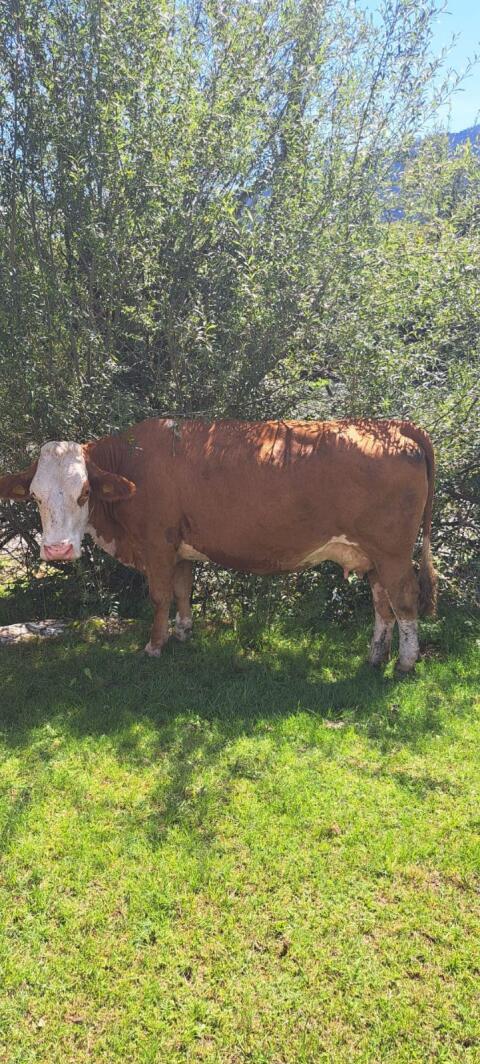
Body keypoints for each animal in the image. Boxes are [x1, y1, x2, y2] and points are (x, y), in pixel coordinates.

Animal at [0, 418, 437, 671]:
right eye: (35, 496)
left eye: (85, 492)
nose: (57, 550)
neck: (133, 461)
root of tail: (392, 425)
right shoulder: (179, 549)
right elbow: (182, 591)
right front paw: (183, 634)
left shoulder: (157, 544)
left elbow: (160, 595)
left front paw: (154, 646)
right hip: (371, 555)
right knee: (382, 603)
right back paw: (376, 655)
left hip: (393, 552)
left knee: (404, 599)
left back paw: (405, 662)